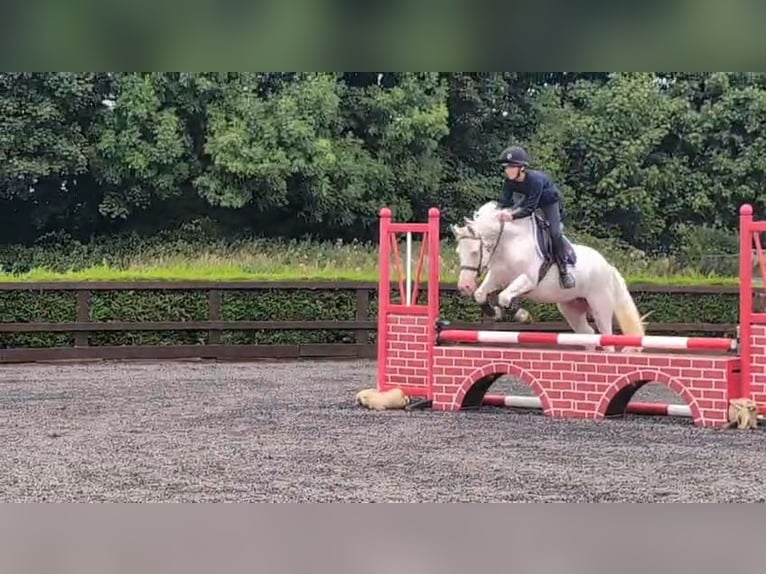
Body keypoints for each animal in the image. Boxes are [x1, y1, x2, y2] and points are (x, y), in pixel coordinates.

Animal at [449, 201, 646, 351]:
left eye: (474, 252)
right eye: (458, 252)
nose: (464, 287)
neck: (510, 244)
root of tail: (608, 266)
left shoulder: (529, 279)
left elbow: (504, 297)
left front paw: (523, 315)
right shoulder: (497, 277)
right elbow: (481, 294)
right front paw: (495, 312)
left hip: (600, 304)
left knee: (606, 338)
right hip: (571, 308)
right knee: (588, 335)